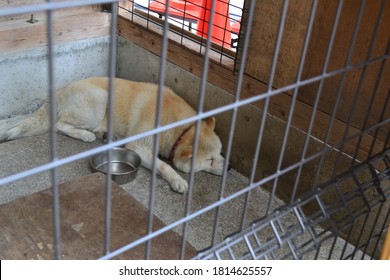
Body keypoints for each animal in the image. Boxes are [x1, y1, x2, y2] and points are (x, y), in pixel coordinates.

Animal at [0, 77, 227, 194]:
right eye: (210, 159)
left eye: (221, 153)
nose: (229, 167)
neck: (182, 128)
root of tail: (57, 93)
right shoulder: (139, 148)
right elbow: (164, 166)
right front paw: (177, 180)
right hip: (99, 102)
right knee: (59, 125)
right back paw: (85, 135)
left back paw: (108, 136)